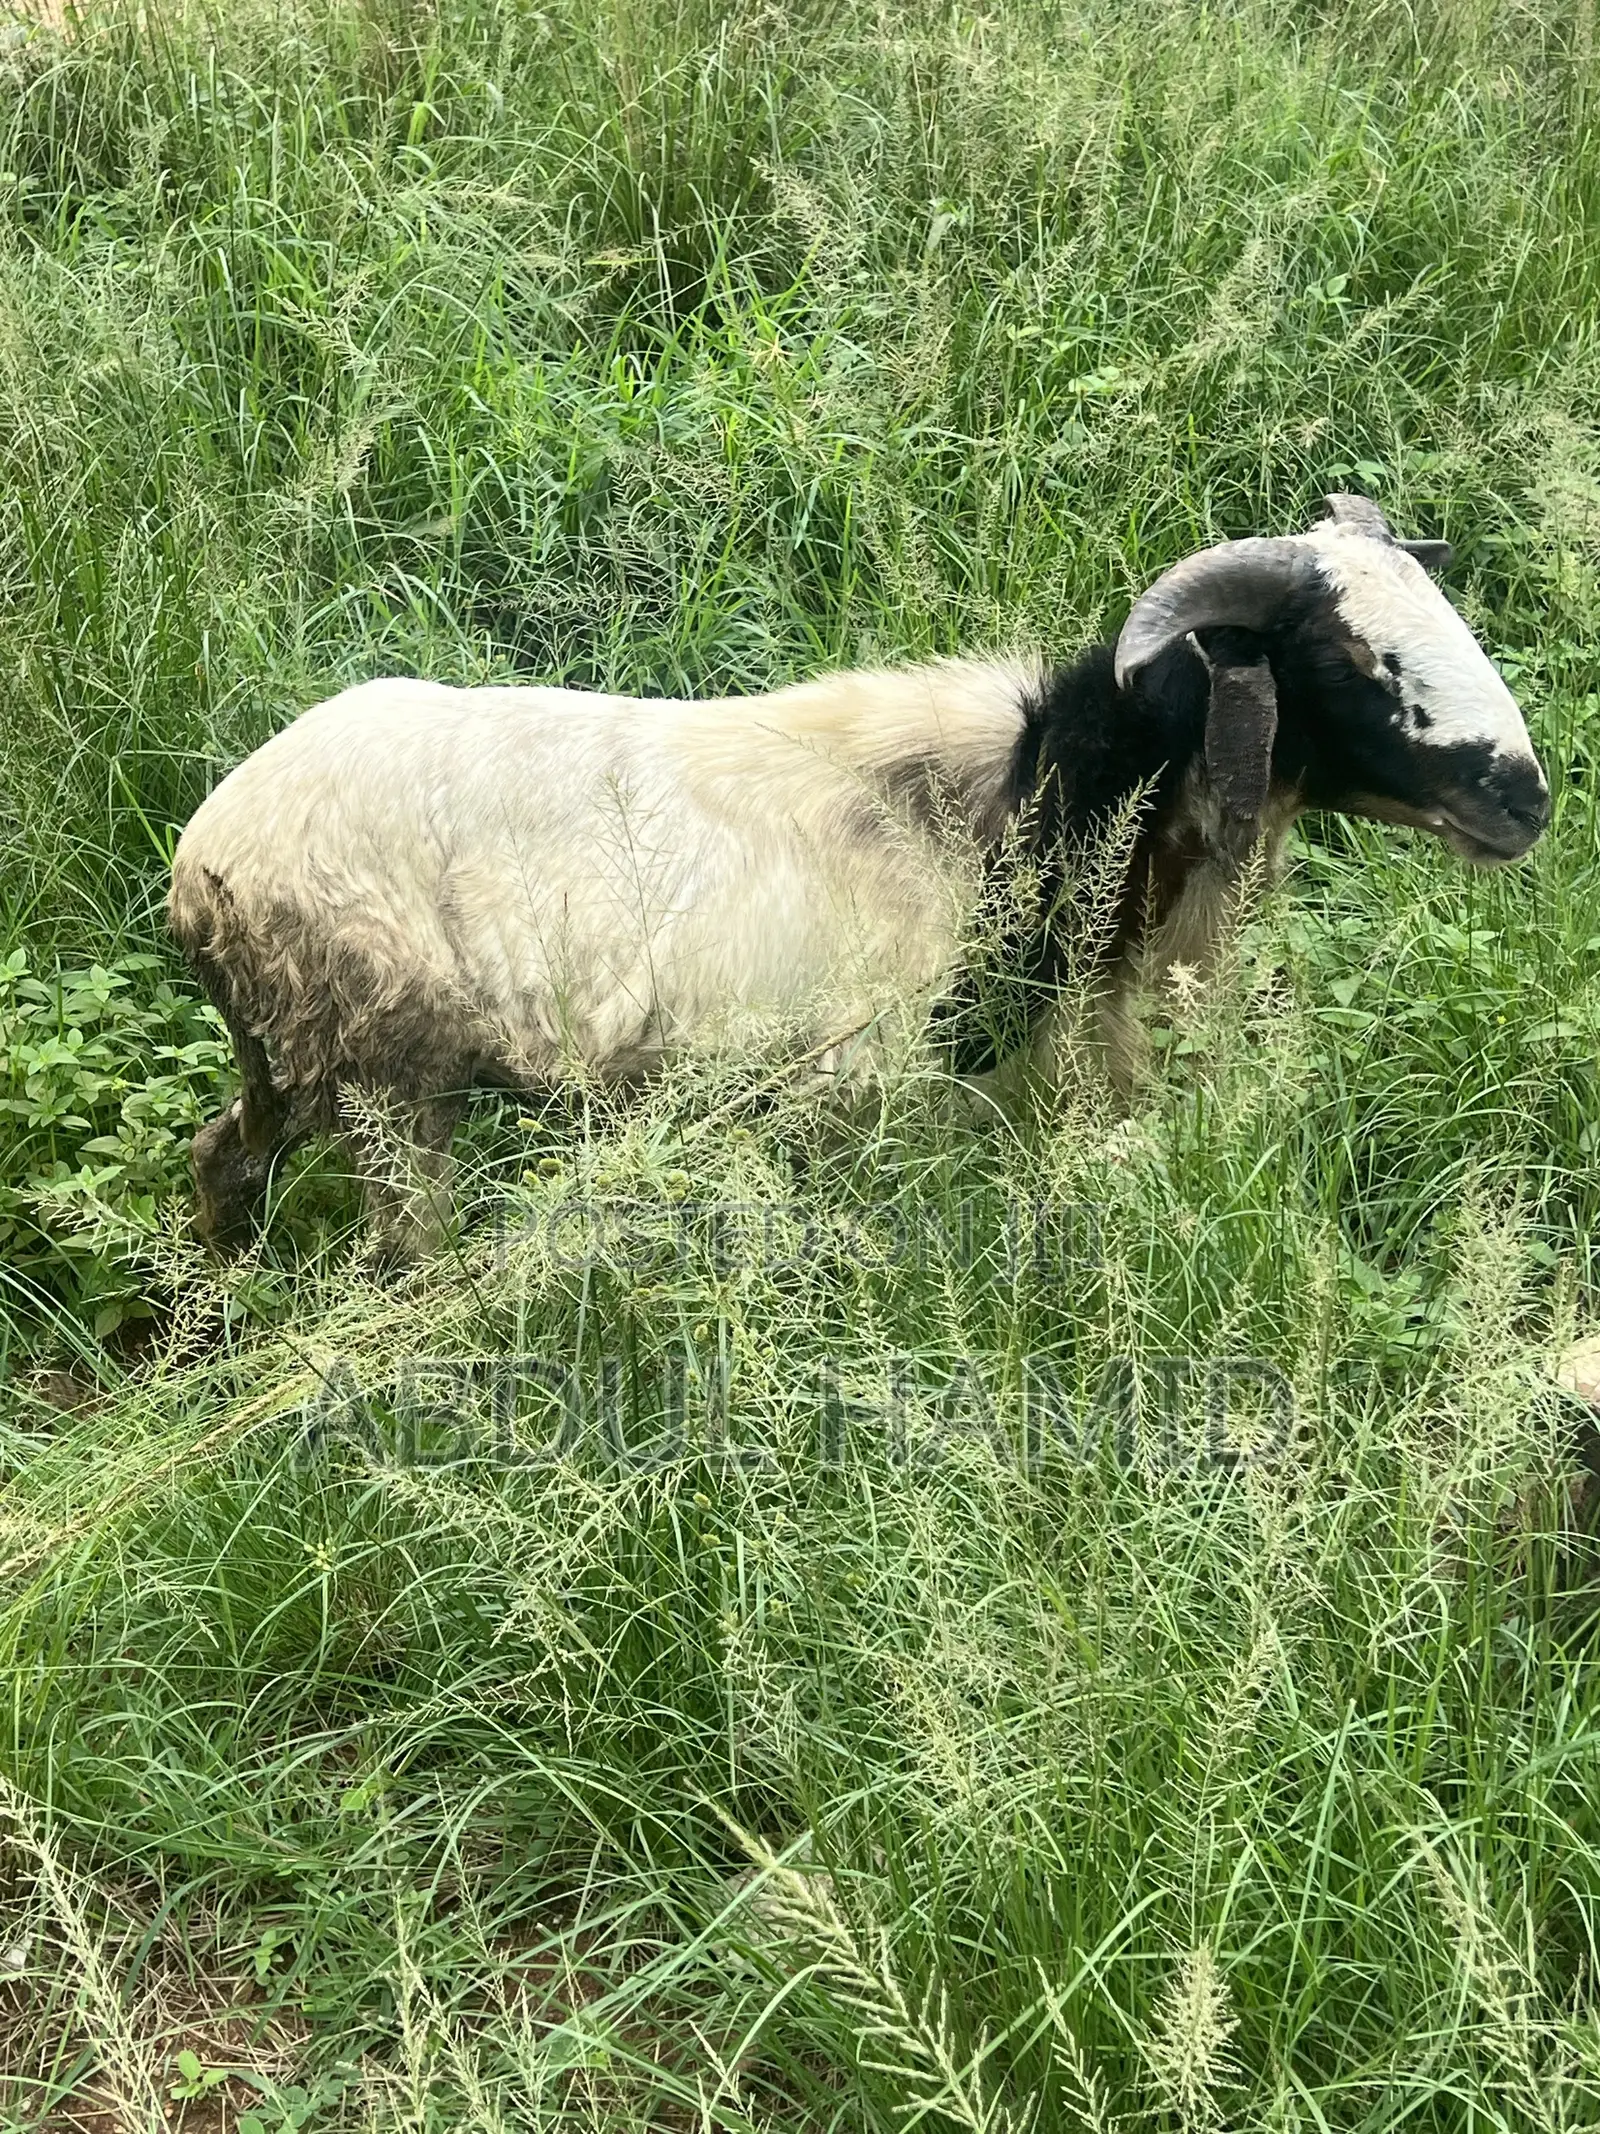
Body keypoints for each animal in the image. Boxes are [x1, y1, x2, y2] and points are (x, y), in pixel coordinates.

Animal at [169, 493, 1550, 1258]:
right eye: (1358, 660)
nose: (1528, 799)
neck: (1044, 794)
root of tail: (200, 865)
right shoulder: (863, 1093)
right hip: (390, 1080)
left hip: (306, 1065)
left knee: (218, 1156)